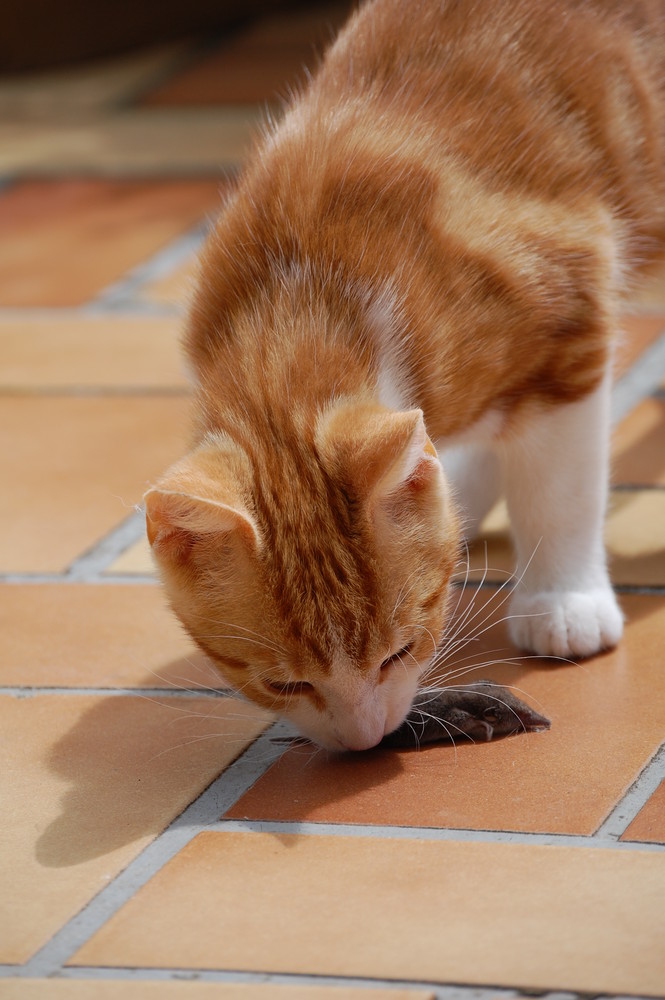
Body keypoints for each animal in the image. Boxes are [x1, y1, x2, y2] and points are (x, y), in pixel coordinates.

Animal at [144, 0, 664, 752]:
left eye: (401, 650)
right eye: (284, 684)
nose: (365, 740)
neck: (303, 287)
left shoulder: (569, 320)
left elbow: (558, 487)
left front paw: (562, 598)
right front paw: (454, 497)